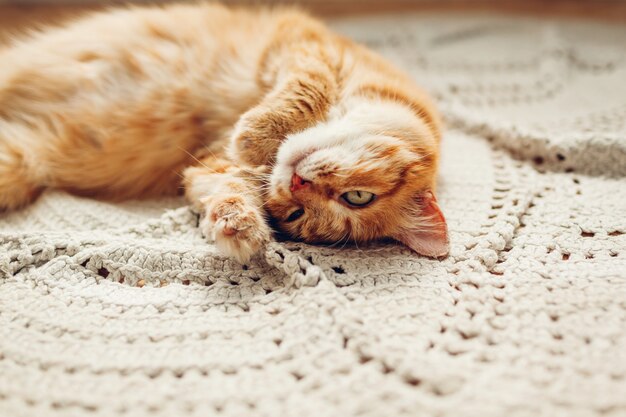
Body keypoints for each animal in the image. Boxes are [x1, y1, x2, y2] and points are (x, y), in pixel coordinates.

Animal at [1, 3, 448, 262]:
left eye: (294, 215)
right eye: (359, 197)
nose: (297, 184)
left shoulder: (207, 166)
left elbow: (228, 189)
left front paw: (238, 227)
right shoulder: (307, 46)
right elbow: (304, 90)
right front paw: (258, 132)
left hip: (19, 163)